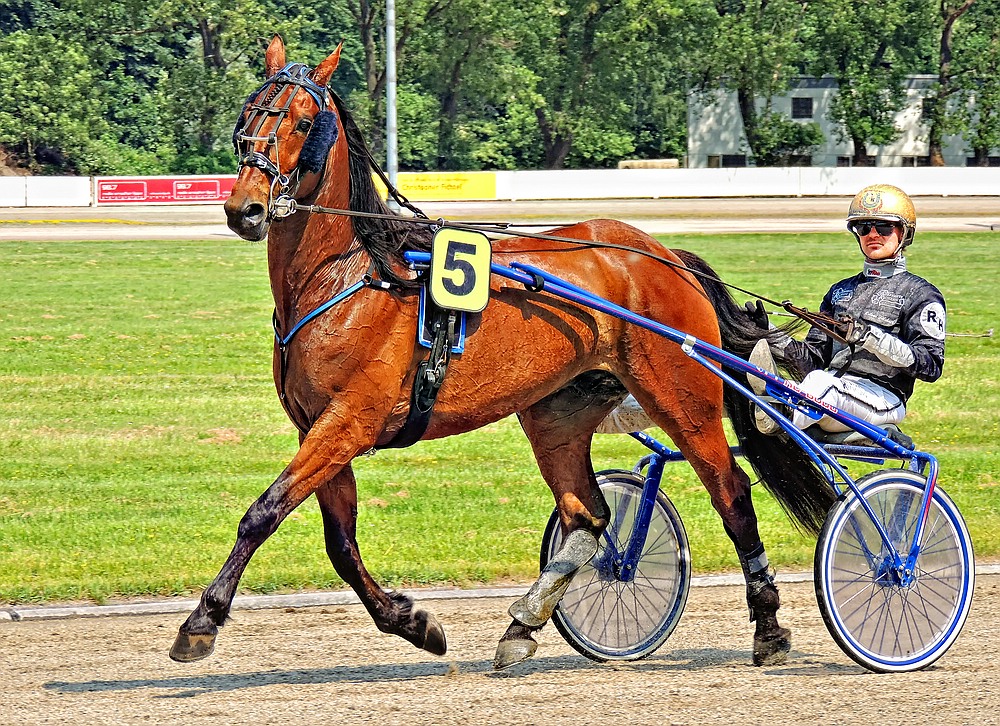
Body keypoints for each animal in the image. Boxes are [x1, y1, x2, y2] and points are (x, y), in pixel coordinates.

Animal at [170, 34, 836, 672]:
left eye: (304, 121)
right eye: (249, 112)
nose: (245, 207)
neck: (348, 276)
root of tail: (662, 254)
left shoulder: (348, 421)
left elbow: (263, 512)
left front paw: (201, 621)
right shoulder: (318, 425)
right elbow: (340, 542)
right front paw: (412, 622)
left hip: (682, 398)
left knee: (734, 496)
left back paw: (769, 628)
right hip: (557, 413)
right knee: (588, 515)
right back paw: (522, 626)